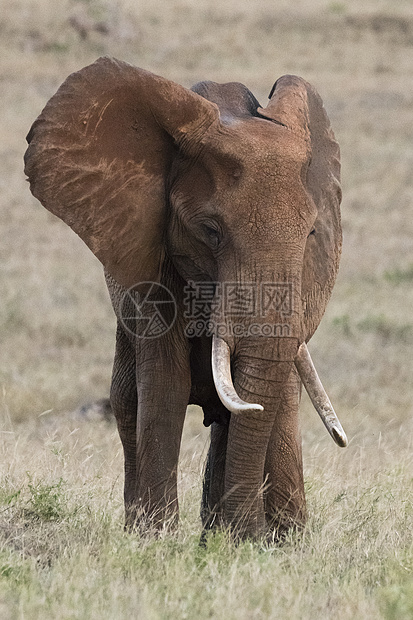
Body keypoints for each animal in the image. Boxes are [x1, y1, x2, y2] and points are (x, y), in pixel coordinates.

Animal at [24, 58, 346, 544]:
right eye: (210, 231)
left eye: (311, 233)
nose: (249, 537)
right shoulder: (151, 263)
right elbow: (165, 382)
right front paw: (156, 541)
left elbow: (273, 394)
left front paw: (275, 544)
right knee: (128, 402)